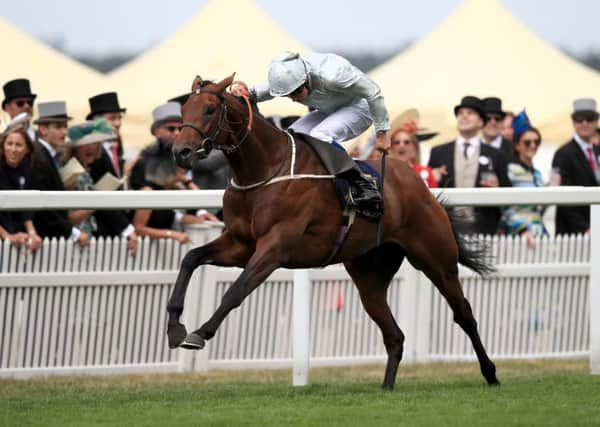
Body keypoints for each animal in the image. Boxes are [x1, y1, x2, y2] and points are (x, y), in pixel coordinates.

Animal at [166, 74, 500, 392]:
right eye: (184, 110)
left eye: (210, 109)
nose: (180, 152)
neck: (264, 169)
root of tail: (421, 185)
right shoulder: (239, 244)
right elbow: (190, 259)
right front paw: (174, 329)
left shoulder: (275, 246)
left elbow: (236, 291)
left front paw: (199, 333)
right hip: (369, 278)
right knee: (395, 335)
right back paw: (387, 388)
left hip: (437, 260)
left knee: (463, 314)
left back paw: (491, 374)